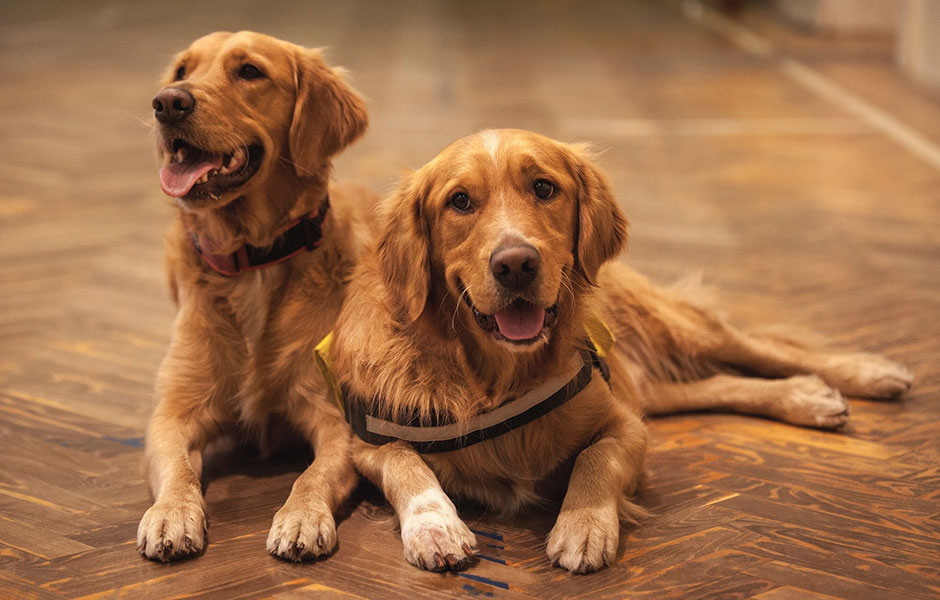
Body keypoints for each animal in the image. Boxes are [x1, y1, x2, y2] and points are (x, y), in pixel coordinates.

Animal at [138, 29, 372, 564]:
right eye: (182, 71)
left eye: (249, 72)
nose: (167, 103)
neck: (251, 262)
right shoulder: (171, 414)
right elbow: (178, 469)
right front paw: (171, 514)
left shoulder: (335, 419)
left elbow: (313, 474)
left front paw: (302, 517)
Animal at [328, 130, 912, 572]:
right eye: (460, 201)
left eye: (544, 187)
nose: (516, 263)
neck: (496, 377)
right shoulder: (367, 440)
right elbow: (406, 464)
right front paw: (435, 526)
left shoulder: (625, 425)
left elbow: (596, 456)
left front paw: (582, 525)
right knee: (718, 382)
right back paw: (808, 398)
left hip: (670, 326)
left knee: (759, 347)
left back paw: (860, 374)